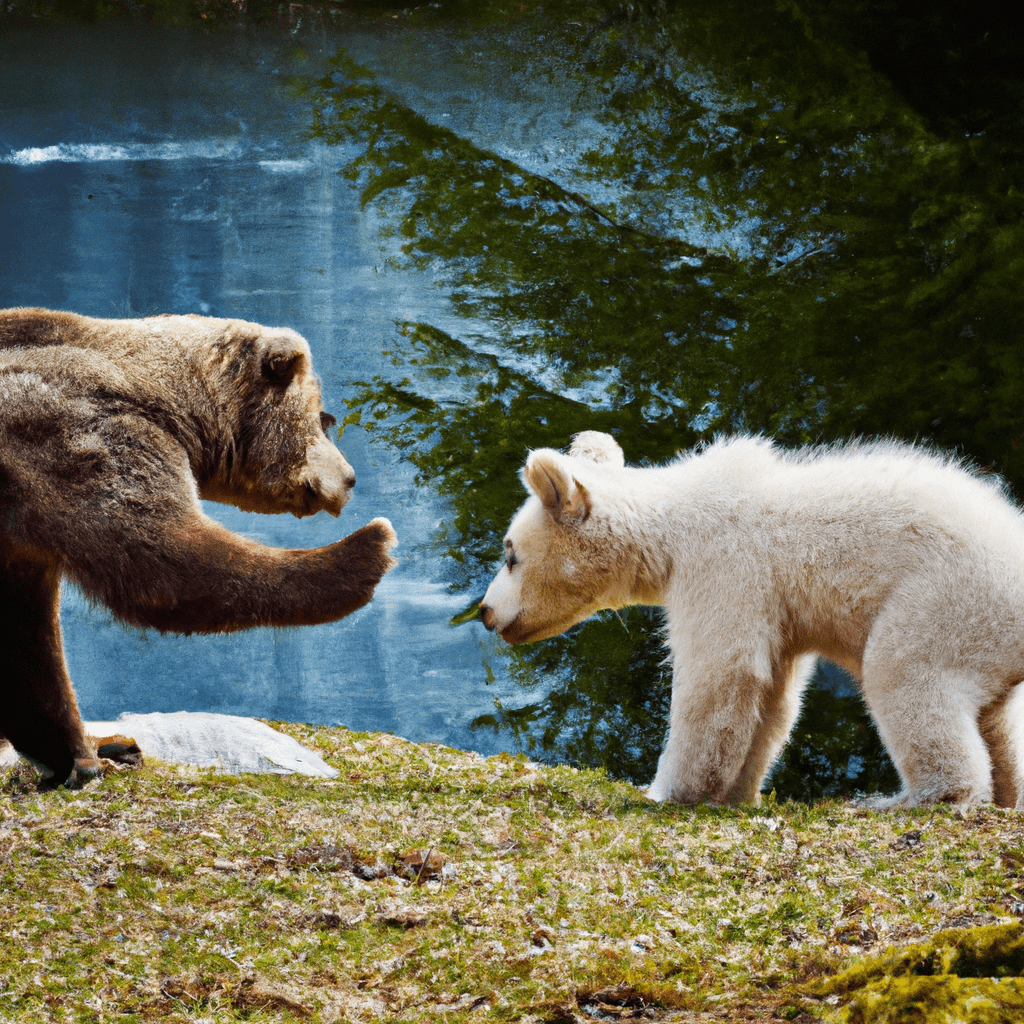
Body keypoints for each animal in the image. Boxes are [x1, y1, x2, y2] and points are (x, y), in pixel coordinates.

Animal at [0, 307, 395, 786]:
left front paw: (77, 756)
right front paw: (369, 547)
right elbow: (165, 562)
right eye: (324, 418)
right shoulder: (71, 437)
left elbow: (25, 643)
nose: (351, 478)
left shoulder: (20, 538)